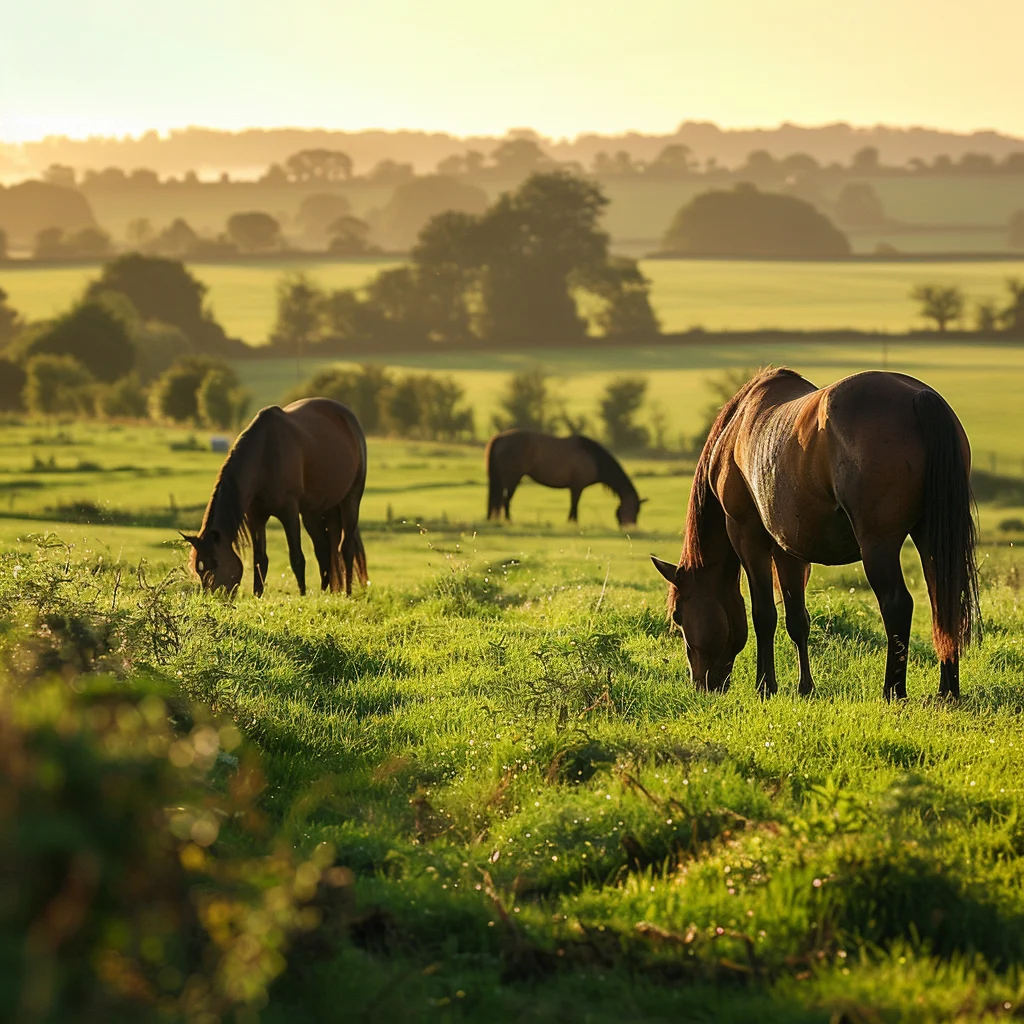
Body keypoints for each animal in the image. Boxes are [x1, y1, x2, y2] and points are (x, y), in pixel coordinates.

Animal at [182, 397, 368, 597]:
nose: (215, 597)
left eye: (216, 562)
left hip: (351, 498)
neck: (265, 455)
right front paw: (257, 595)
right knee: (324, 550)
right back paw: (326, 592)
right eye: (199, 569)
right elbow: (260, 560)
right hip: (315, 512)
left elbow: (297, 558)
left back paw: (347, 593)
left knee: (346, 547)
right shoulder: (256, 516)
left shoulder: (289, 511)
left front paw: (302, 596)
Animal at [485, 429, 645, 527]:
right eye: (634, 509)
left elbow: (573, 504)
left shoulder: (575, 487)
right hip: (512, 478)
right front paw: (573, 523)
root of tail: (499, 438)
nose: (631, 528)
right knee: (505, 500)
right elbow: (575, 505)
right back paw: (509, 520)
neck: (594, 458)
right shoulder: (577, 486)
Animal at [650, 368, 979, 700]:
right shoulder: (787, 549)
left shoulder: (747, 536)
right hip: (930, 539)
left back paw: (893, 690)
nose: (702, 685)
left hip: (878, 545)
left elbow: (764, 615)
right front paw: (805, 687)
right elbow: (797, 619)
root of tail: (918, 398)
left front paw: (765, 686)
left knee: (897, 604)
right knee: (944, 604)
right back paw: (947, 692)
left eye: (678, 615)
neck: (734, 435)